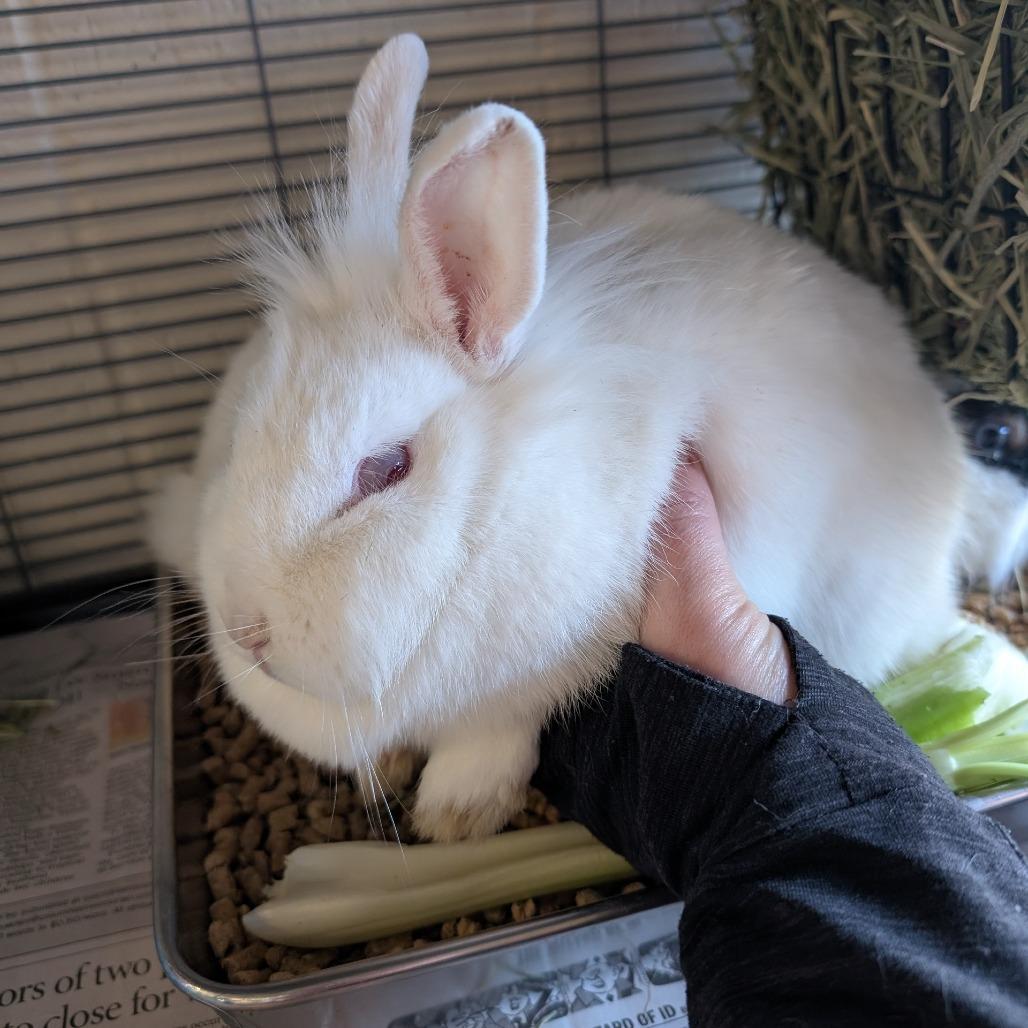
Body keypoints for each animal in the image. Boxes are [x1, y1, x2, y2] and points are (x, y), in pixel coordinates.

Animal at [149, 34, 1028, 842]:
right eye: (243, 429)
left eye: (385, 468)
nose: (246, 630)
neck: (494, 490)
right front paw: (388, 776)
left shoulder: (545, 677)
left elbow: (493, 739)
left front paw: (456, 817)